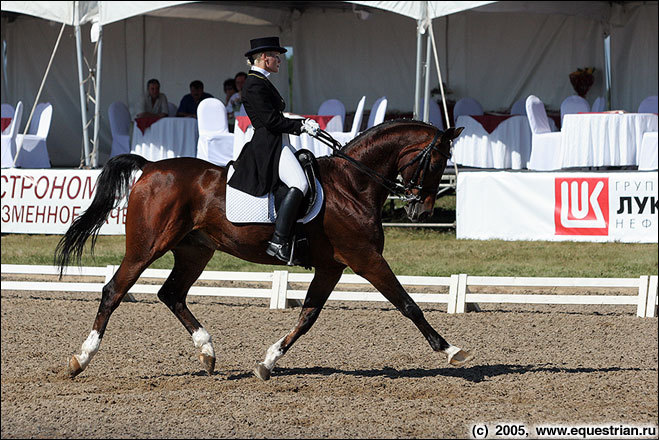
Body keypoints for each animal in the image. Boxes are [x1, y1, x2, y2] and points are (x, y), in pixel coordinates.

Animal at [55, 118, 470, 380]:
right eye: (436, 160)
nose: (421, 211)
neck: (352, 184)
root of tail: (152, 166)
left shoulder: (332, 267)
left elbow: (307, 317)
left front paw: (268, 362)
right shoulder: (364, 258)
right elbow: (408, 304)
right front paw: (451, 350)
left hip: (195, 250)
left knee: (171, 293)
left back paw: (207, 353)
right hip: (147, 246)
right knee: (114, 290)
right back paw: (80, 359)